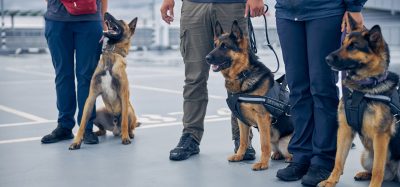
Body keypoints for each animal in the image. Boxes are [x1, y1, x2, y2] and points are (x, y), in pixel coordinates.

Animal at [68, 12, 138, 150]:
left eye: (120, 21)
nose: (106, 13)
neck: (111, 54)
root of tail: (115, 129)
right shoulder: (91, 97)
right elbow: (83, 122)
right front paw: (77, 141)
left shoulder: (123, 95)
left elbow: (124, 122)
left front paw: (126, 138)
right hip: (99, 111)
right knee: (104, 130)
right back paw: (98, 132)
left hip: (129, 110)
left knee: (129, 125)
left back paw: (129, 134)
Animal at [206, 20, 294, 171]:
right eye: (215, 45)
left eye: (225, 46)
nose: (206, 58)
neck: (243, 74)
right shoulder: (241, 119)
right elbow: (243, 141)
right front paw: (239, 156)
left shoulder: (262, 118)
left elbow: (264, 144)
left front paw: (263, 163)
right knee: (276, 149)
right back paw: (277, 154)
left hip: (286, 142)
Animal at [318, 13, 400, 186]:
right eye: (343, 44)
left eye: (353, 46)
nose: (326, 58)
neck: (363, 89)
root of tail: (395, 174)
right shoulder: (344, 130)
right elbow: (338, 160)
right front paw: (330, 181)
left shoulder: (381, 136)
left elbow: (378, 170)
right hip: (366, 156)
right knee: (381, 172)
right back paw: (364, 174)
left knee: (382, 171)